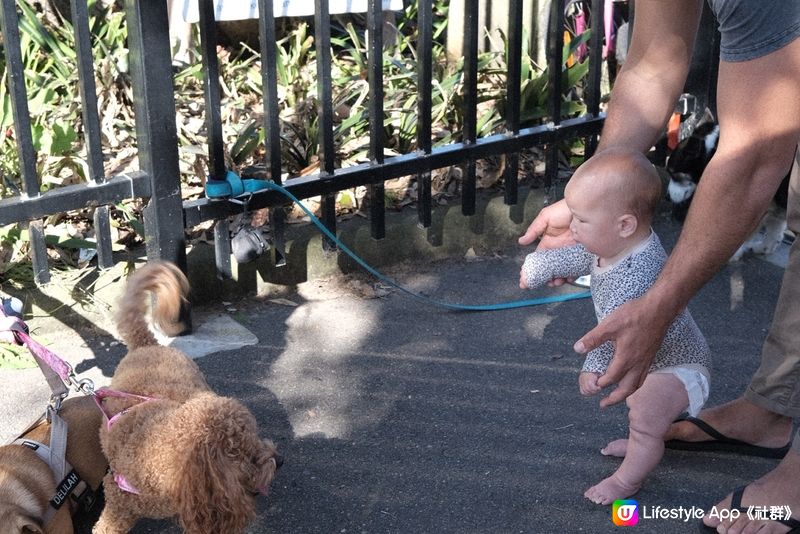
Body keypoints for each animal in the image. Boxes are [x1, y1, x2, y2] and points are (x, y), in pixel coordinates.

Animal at [664, 112, 792, 262]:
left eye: (674, 174)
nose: (666, 197)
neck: (713, 154)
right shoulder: (777, 206)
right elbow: (775, 229)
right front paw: (764, 248)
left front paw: (732, 255)